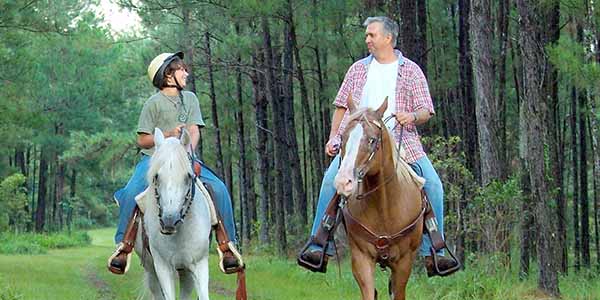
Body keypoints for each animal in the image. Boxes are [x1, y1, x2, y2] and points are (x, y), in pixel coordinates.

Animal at [135, 127, 212, 300]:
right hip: (151, 269)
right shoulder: (162, 267)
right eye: (156, 176)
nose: (170, 221)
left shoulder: (199, 264)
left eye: (188, 176)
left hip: (185, 270)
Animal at [332, 97, 426, 298]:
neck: (384, 207)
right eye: (342, 138)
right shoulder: (361, 257)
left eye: (372, 140)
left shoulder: (404, 262)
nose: (343, 182)